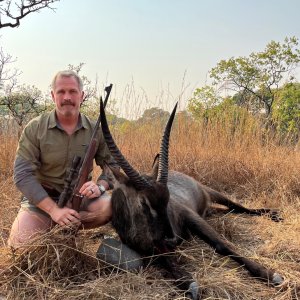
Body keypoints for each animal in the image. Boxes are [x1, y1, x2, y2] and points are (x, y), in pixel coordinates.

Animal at [99, 101, 284, 300]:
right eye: (143, 202)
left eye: (167, 198)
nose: (172, 239)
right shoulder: (148, 249)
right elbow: (163, 260)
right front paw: (188, 283)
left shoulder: (190, 216)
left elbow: (222, 245)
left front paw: (270, 275)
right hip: (209, 210)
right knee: (228, 210)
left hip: (213, 194)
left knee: (238, 207)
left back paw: (273, 214)